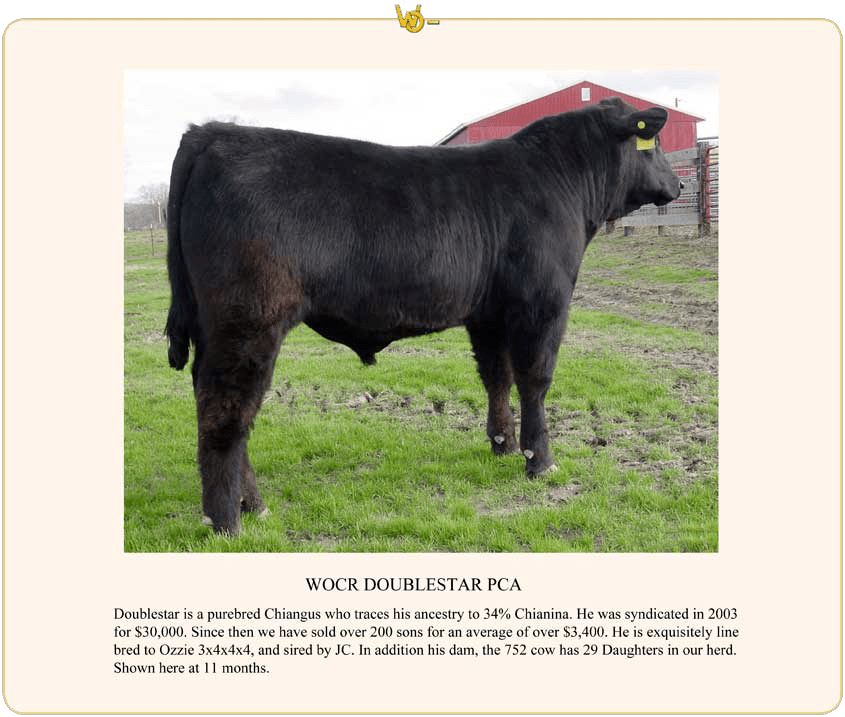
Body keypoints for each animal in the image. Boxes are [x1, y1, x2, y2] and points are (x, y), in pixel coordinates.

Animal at [165, 97, 682, 535]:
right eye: (654, 144)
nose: (678, 184)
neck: (560, 179)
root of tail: (212, 132)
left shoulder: (489, 315)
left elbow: (496, 376)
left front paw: (502, 445)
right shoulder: (543, 301)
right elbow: (535, 380)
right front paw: (540, 460)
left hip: (215, 326)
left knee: (218, 403)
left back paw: (253, 504)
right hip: (249, 320)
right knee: (225, 409)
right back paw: (227, 519)